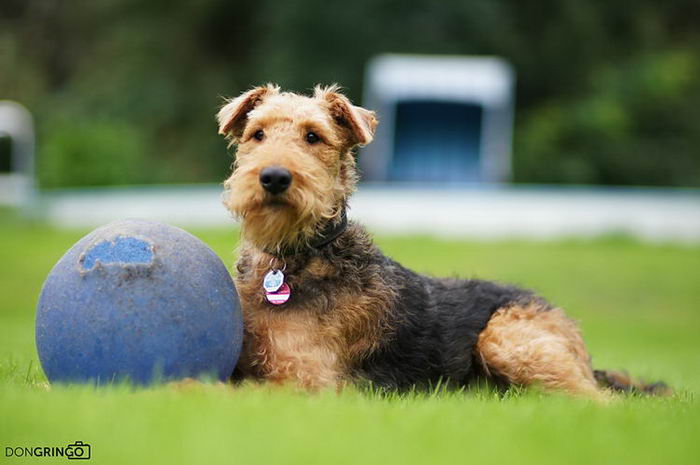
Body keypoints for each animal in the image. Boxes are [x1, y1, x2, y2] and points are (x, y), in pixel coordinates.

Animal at [215, 84, 668, 398]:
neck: (292, 258)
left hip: (506, 340)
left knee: (600, 401)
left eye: (313, 136)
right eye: (257, 133)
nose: (274, 177)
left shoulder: (309, 380)